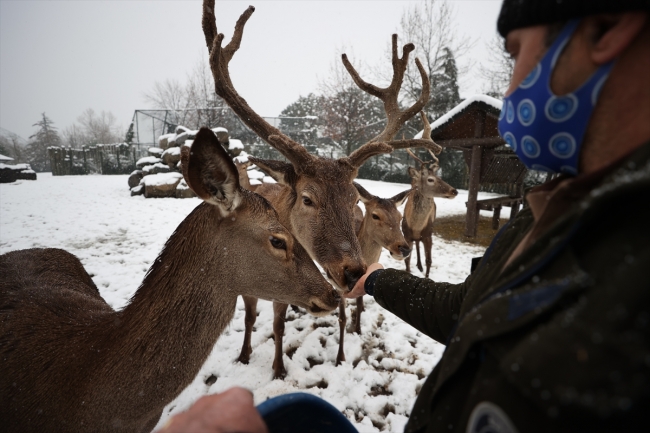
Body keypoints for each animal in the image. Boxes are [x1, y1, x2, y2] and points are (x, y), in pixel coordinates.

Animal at [400, 113, 456, 278]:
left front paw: (425, 275)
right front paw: (410, 271)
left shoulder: (429, 235)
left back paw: (419, 265)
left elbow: (429, 261)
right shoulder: (406, 236)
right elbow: (407, 261)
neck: (416, 227)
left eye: (439, 176)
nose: (454, 191)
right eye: (430, 179)